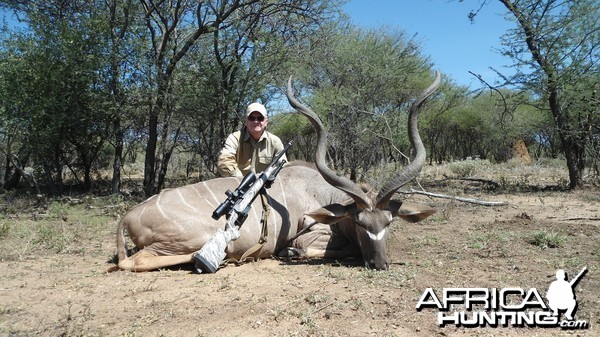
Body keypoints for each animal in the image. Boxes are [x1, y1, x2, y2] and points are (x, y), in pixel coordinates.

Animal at [113, 72, 440, 272]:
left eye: (389, 222)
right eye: (359, 223)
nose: (379, 264)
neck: (324, 195)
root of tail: (128, 215)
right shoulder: (312, 234)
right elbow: (311, 249)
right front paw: (289, 253)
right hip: (183, 241)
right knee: (134, 261)